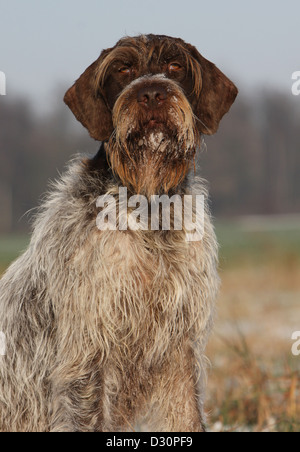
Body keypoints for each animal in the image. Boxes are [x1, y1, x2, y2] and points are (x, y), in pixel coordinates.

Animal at [0, 34, 238, 430]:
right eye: (123, 69)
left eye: (175, 66)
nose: (153, 93)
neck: (149, 210)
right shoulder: (88, 354)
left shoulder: (179, 350)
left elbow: (188, 417)